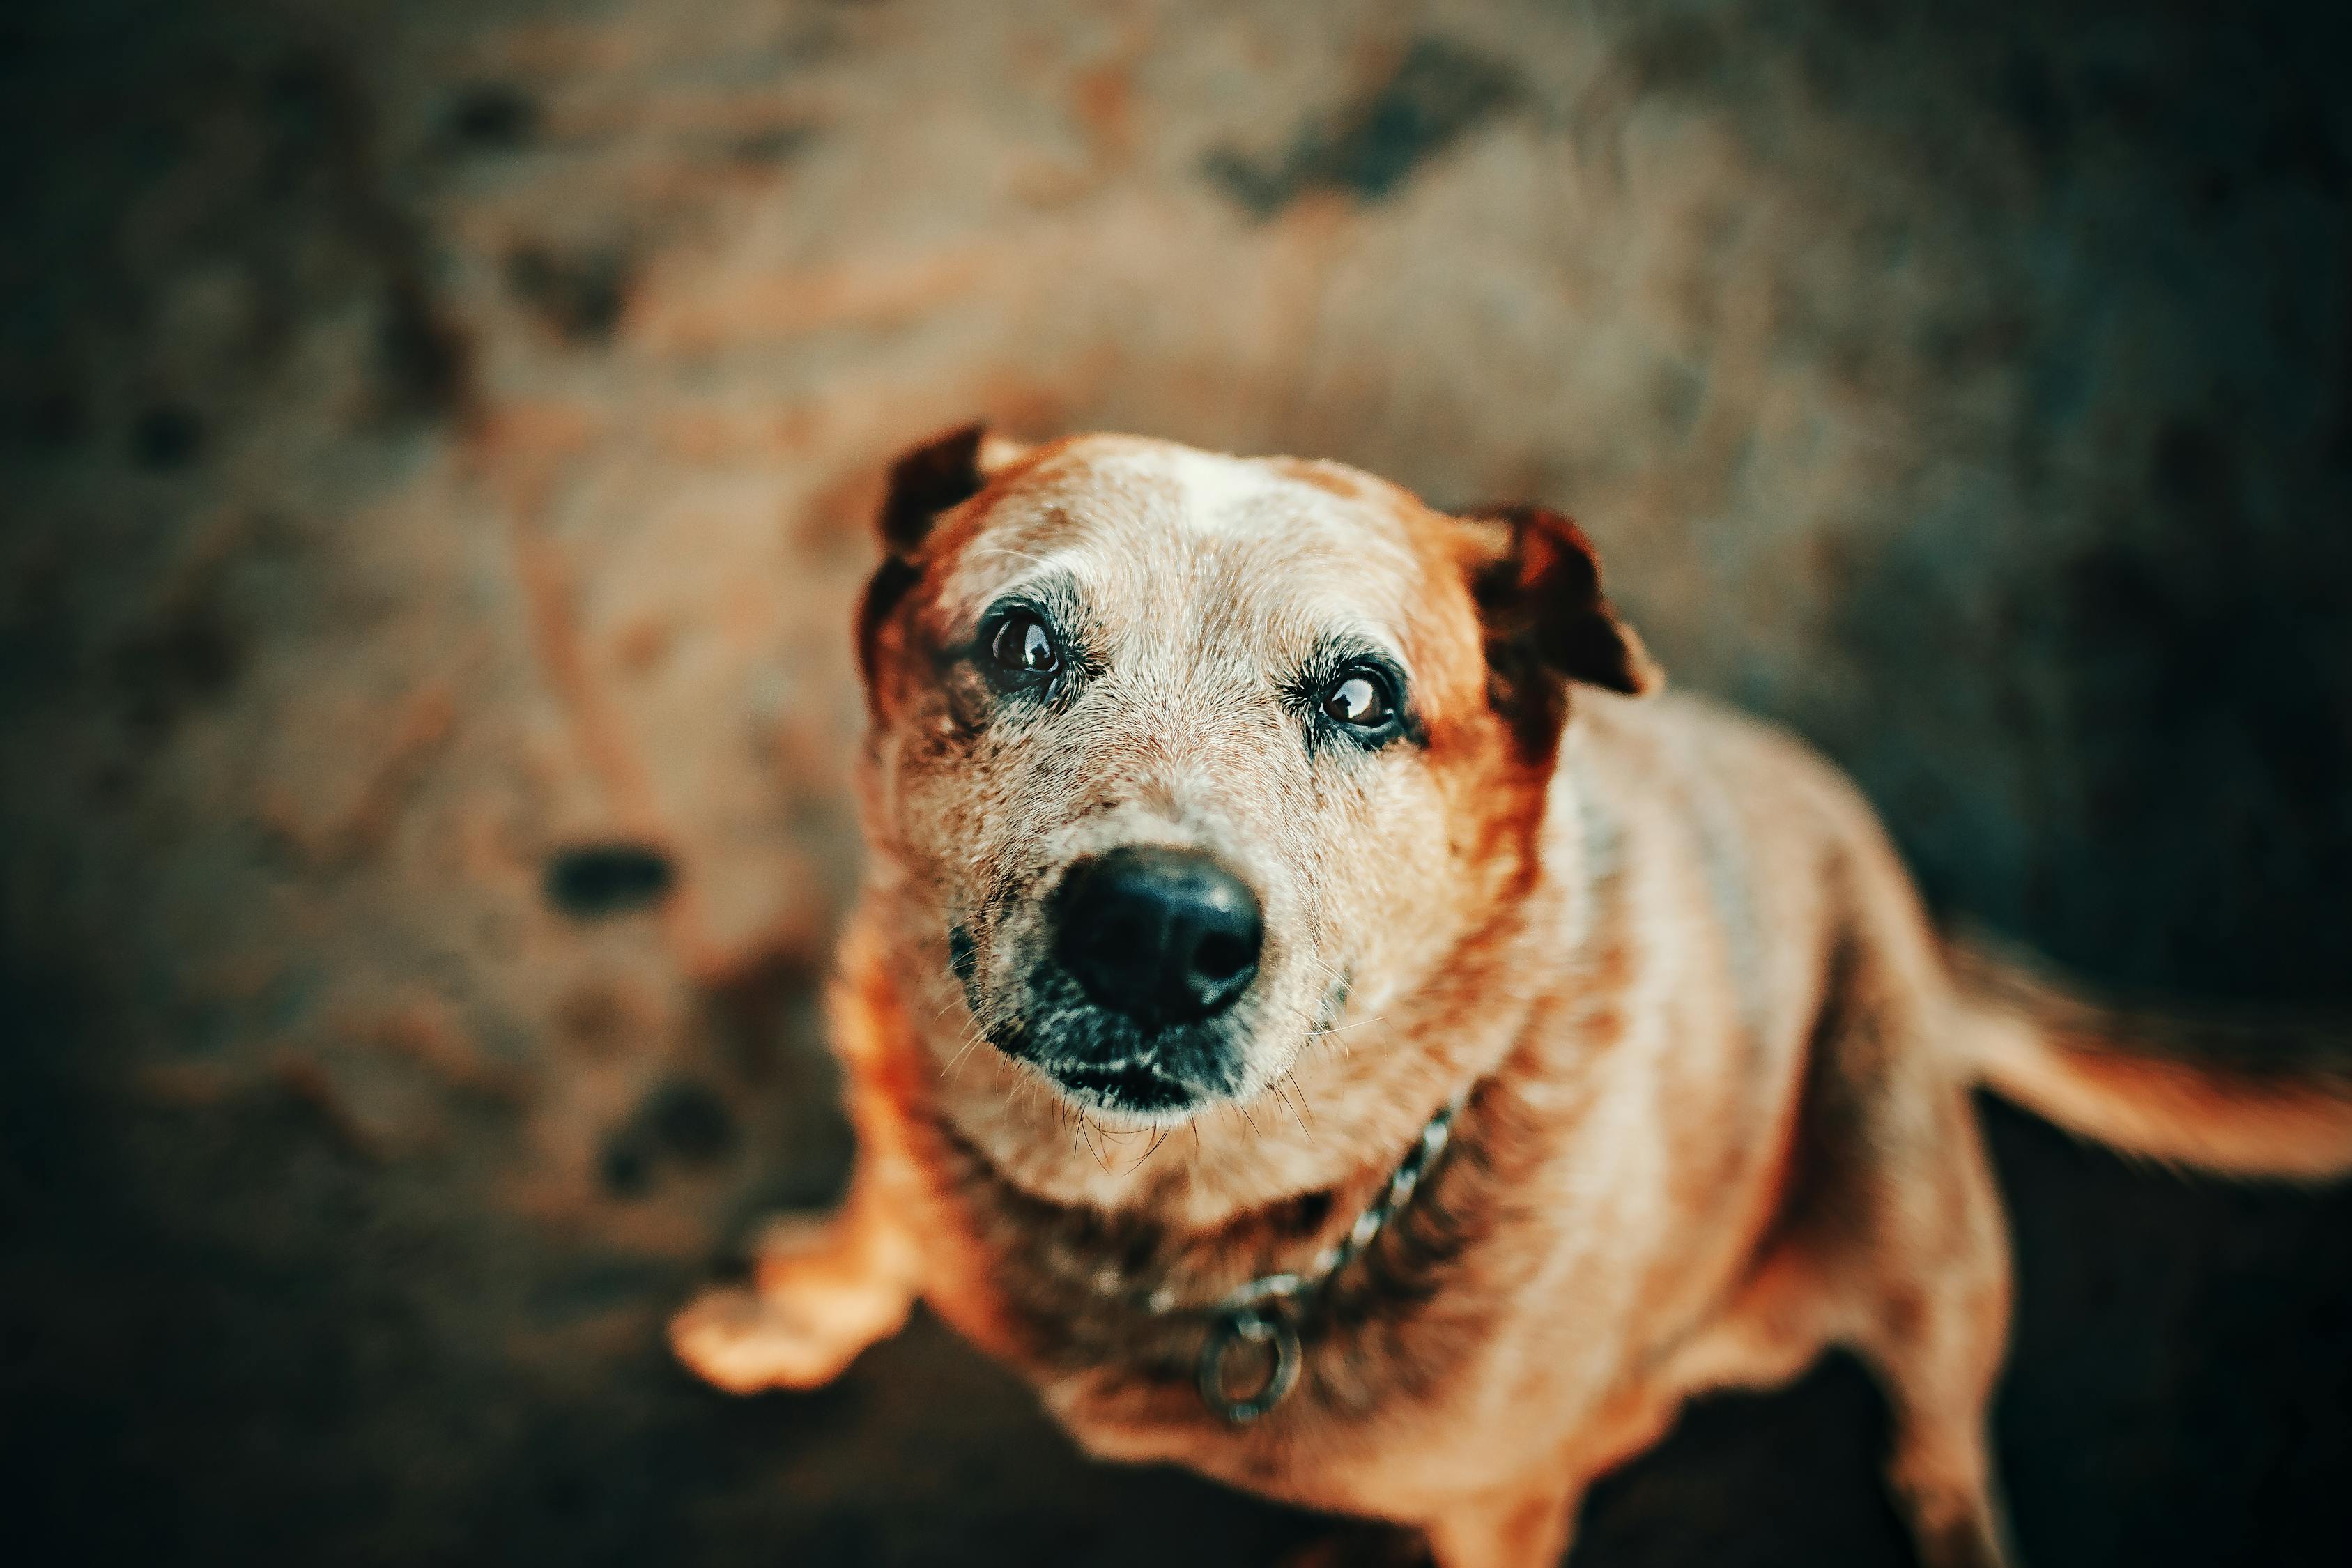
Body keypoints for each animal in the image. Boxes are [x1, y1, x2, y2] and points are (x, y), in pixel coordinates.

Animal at [668, 425, 2352, 1568]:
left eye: (1362, 696)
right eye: (1020, 637)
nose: (1157, 932)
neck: (1174, 1235)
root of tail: (1926, 929)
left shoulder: (1507, 1504)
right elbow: (880, 1217)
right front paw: (798, 1304)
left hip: (1909, 1211)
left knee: (1940, 1432)